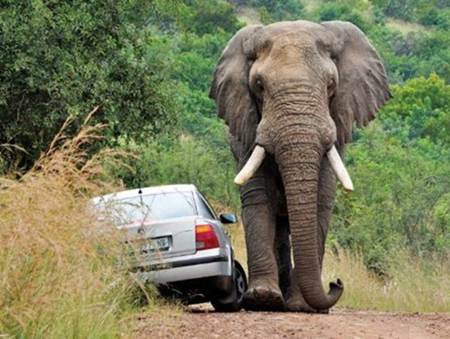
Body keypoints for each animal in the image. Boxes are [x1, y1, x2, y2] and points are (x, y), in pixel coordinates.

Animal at [210, 21, 390, 314]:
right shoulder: (246, 131)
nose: (335, 283)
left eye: (331, 85)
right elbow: (258, 197)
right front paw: (262, 298)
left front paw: (301, 306)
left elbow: (320, 201)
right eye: (259, 86)